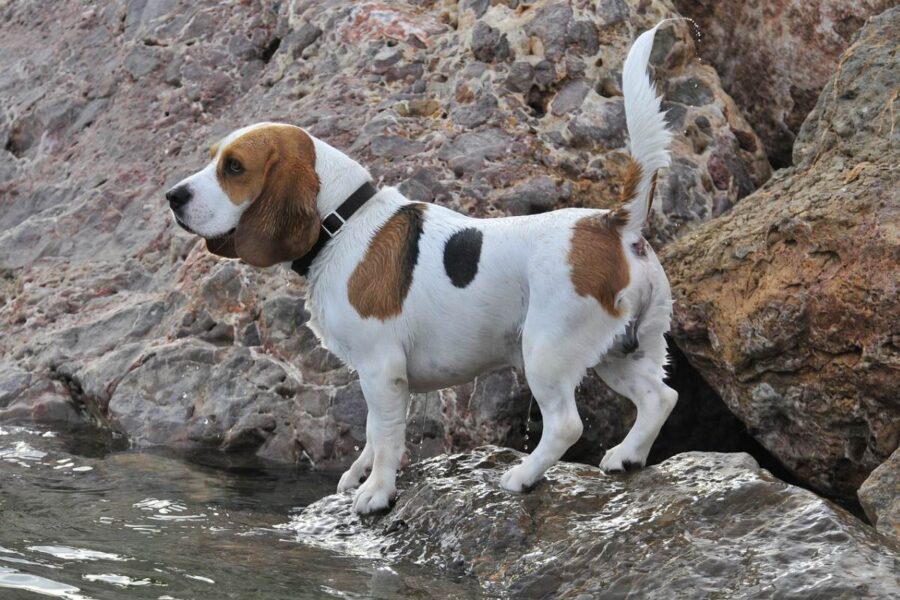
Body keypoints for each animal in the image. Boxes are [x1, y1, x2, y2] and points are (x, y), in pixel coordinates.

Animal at [165, 22, 680, 510]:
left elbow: (388, 438)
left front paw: (376, 493)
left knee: (567, 425)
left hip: (547, 351)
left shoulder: (382, 368)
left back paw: (523, 476)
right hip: (621, 350)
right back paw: (627, 455)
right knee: (661, 397)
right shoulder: (376, 377)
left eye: (234, 168)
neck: (342, 222)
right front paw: (360, 474)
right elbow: (374, 432)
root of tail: (611, 223)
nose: (172, 196)